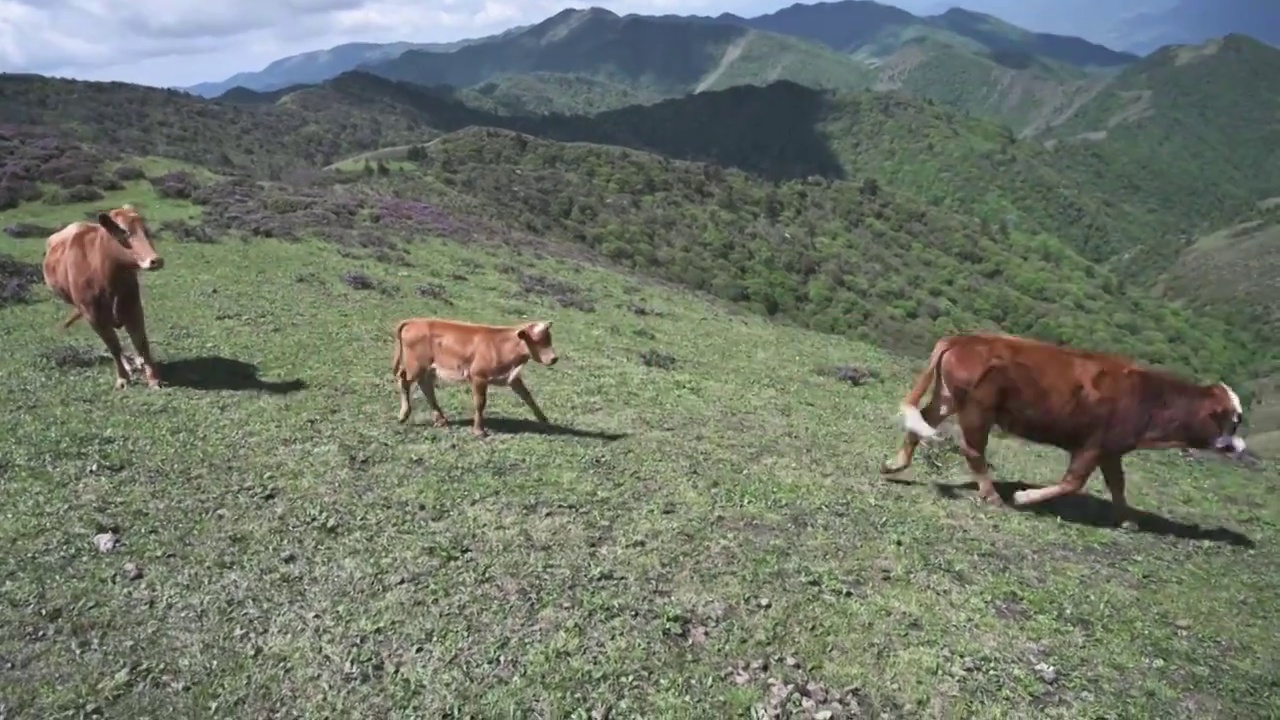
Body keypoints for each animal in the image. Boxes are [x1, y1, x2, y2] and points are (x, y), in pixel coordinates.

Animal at [42, 204, 166, 389]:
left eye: (146, 230)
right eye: (123, 231)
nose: (156, 260)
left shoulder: (134, 308)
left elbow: (141, 342)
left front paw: (153, 379)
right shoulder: (93, 317)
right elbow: (113, 347)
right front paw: (122, 378)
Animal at [391, 315, 558, 438]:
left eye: (549, 338)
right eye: (537, 340)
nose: (554, 358)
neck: (501, 345)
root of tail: (415, 321)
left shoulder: (513, 378)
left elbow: (528, 397)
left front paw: (545, 421)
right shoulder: (479, 376)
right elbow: (480, 403)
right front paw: (479, 430)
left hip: (428, 369)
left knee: (426, 387)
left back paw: (441, 419)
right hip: (415, 366)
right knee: (404, 380)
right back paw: (404, 414)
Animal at [875, 333, 1244, 525]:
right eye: (1233, 419)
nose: (1240, 447)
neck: (1150, 400)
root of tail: (965, 336)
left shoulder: (1112, 448)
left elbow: (1118, 484)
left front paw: (1127, 519)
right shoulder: (1094, 444)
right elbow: (1072, 482)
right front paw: (1024, 497)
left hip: (949, 396)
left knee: (923, 420)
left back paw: (894, 464)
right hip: (979, 409)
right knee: (973, 450)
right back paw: (993, 495)